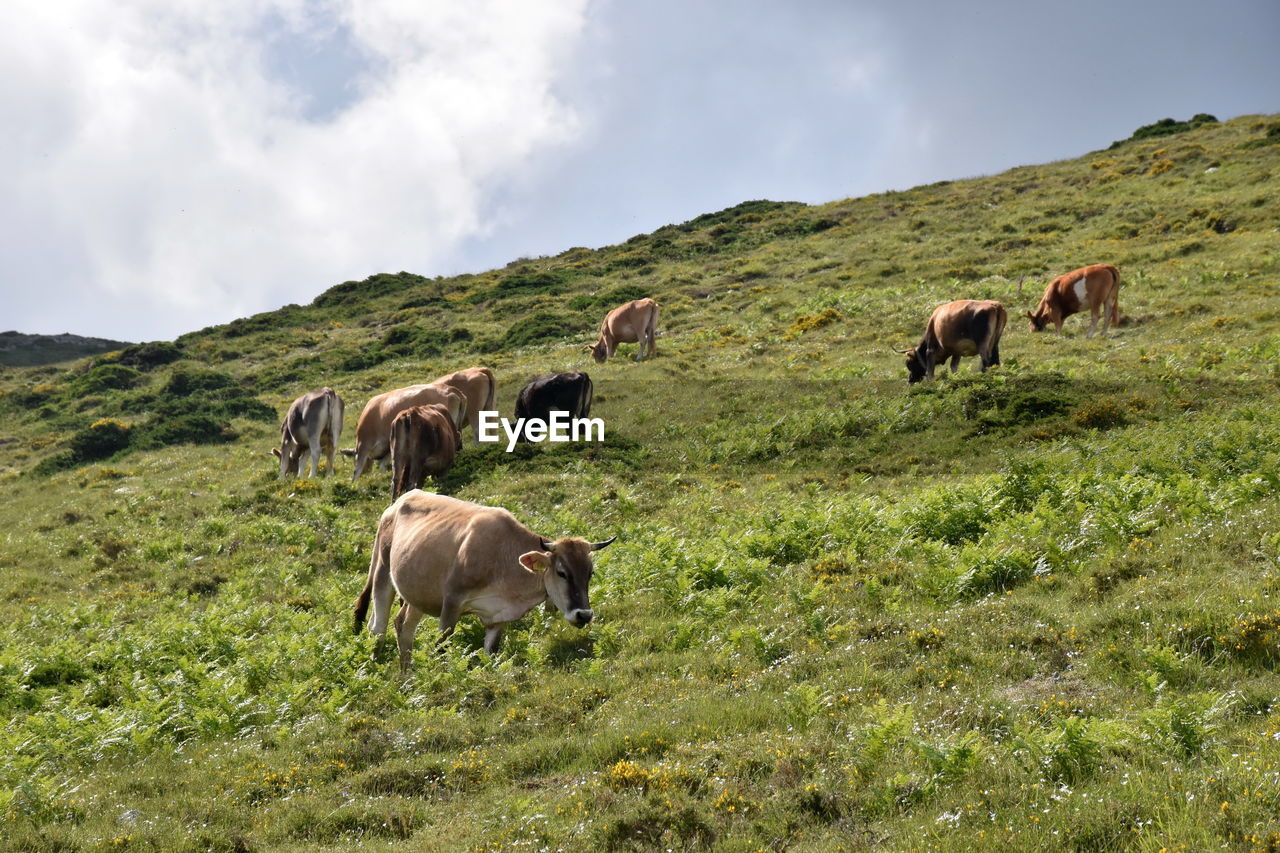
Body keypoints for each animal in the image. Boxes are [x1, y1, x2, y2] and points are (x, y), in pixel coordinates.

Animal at [353, 489, 616, 666]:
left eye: (590, 573)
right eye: (562, 573)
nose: (584, 614)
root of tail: (399, 501)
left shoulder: (497, 618)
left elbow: (491, 653)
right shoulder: (452, 601)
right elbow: (442, 647)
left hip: (417, 592)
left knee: (403, 625)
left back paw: (406, 676)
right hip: (383, 573)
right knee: (377, 628)